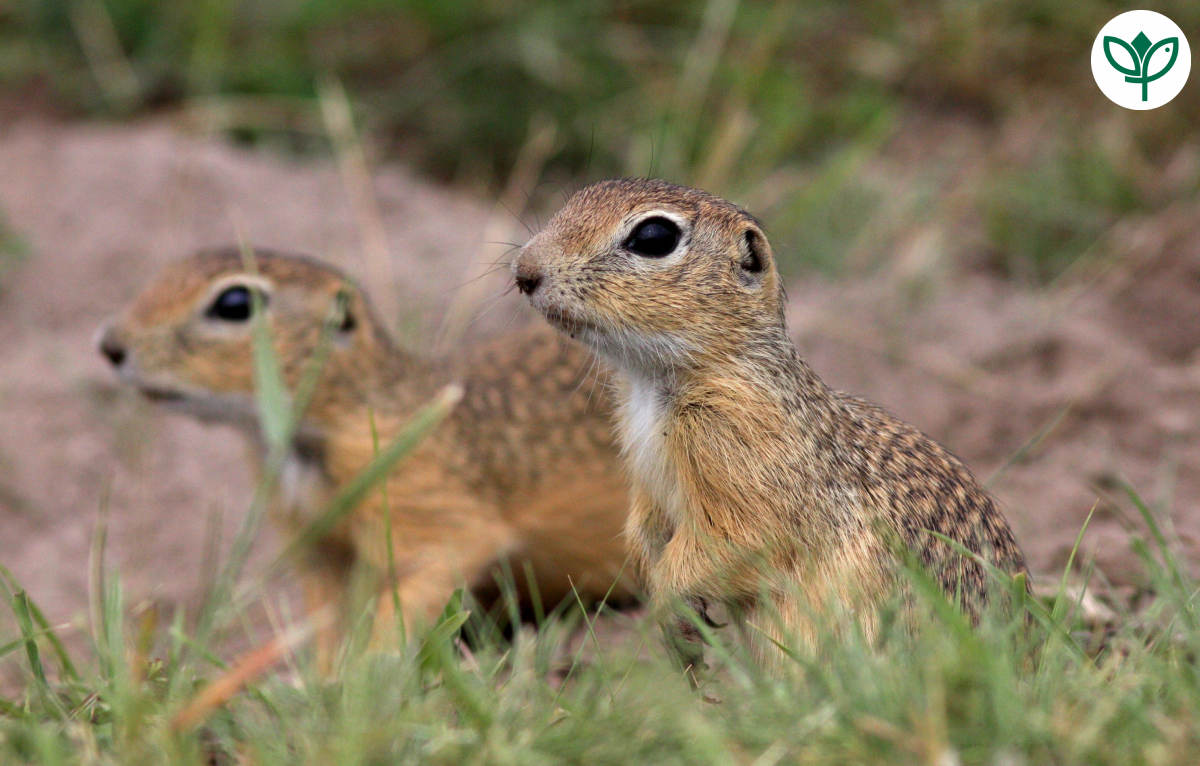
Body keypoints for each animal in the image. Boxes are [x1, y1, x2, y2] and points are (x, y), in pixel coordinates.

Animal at [98, 247, 633, 662]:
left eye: (234, 303)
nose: (109, 346)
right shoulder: (316, 544)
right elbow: (325, 617)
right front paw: (319, 680)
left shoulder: (426, 503)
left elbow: (415, 589)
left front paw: (368, 673)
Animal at [511, 178, 1027, 672]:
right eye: (579, 196)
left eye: (654, 237)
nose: (524, 273)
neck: (651, 386)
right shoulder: (648, 479)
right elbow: (644, 529)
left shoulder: (742, 449)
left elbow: (740, 539)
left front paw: (672, 612)